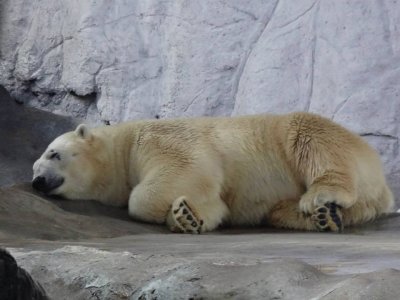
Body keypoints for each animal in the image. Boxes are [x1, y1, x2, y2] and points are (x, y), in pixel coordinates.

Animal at [32, 112, 394, 232]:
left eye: (54, 153)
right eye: (34, 166)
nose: (37, 180)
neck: (123, 146)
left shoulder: (160, 141)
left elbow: (186, 169)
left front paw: (185, 212)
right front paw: (190, 216)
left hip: (297, 135)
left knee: (311, 136)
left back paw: (320, 198)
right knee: (278, 210)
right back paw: (322, 217)